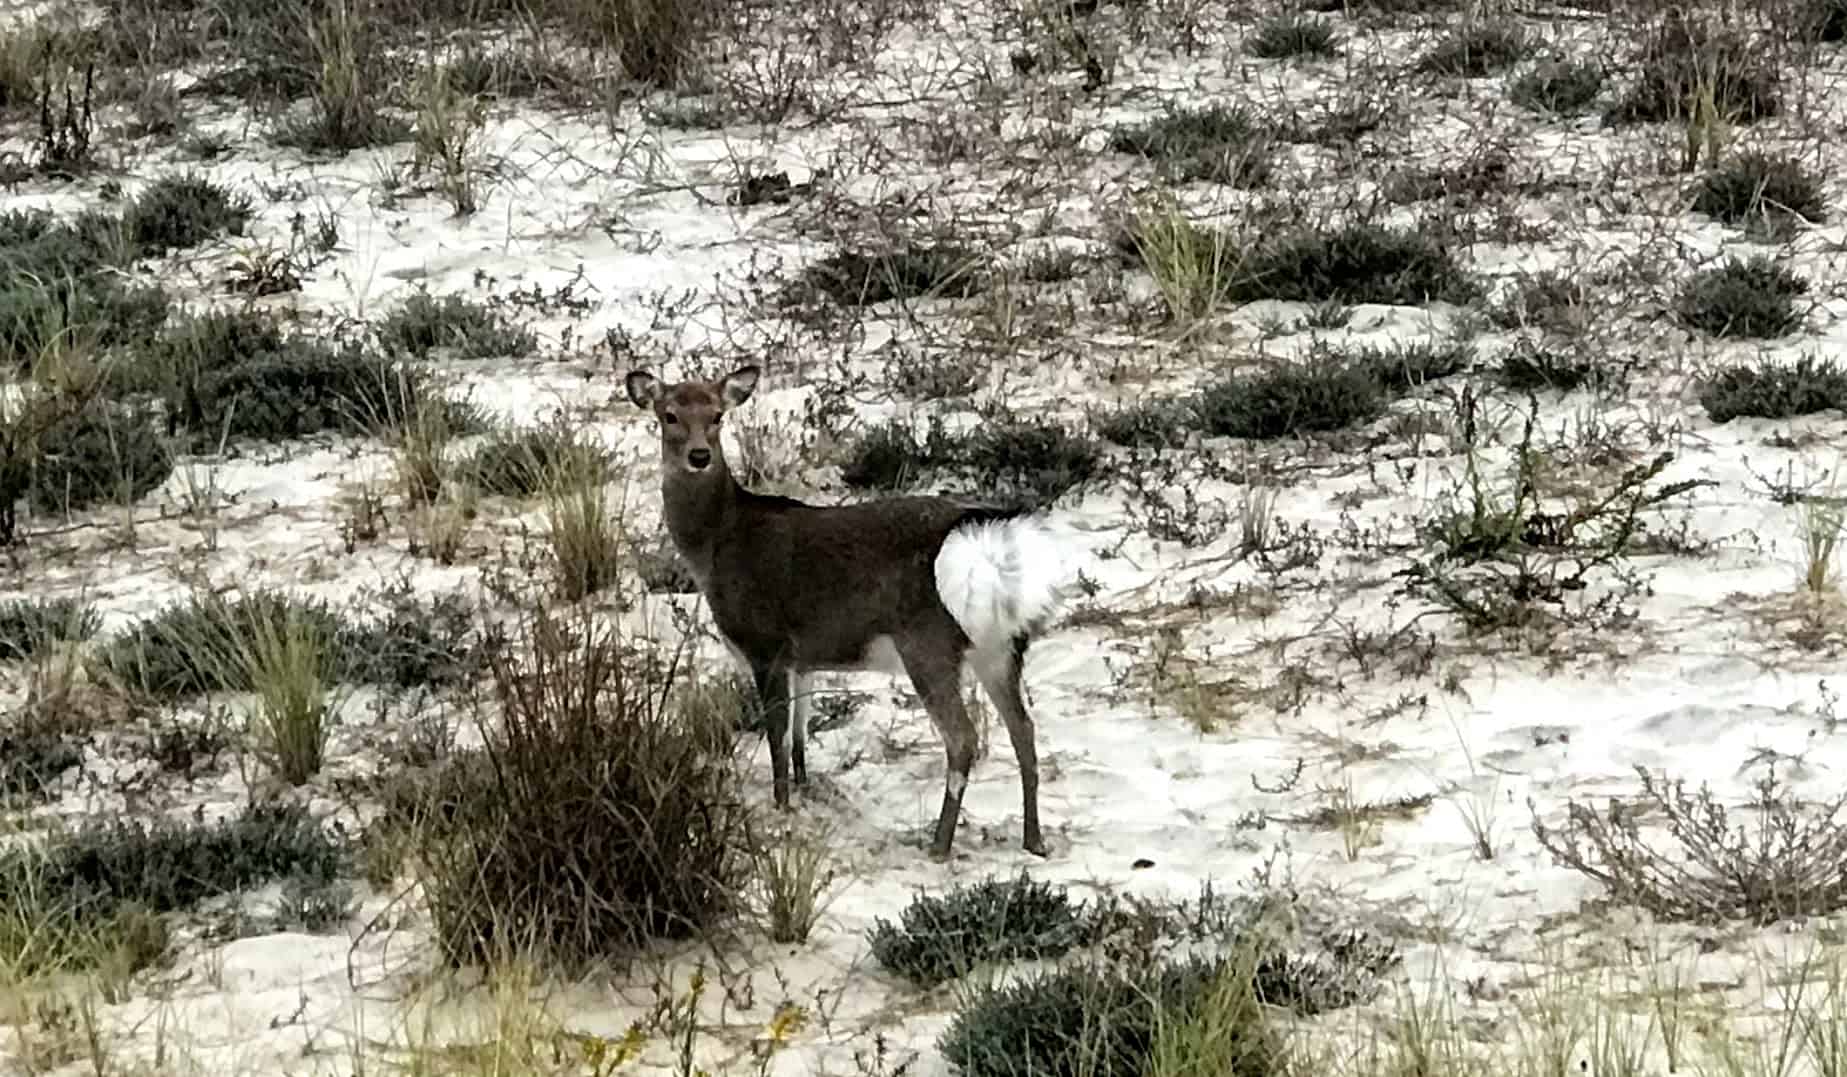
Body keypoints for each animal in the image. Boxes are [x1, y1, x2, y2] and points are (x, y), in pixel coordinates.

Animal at [624, 364, 1078, 859]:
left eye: (717, 415)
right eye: (669, 415)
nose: (699, 456)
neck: (716, 546)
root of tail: (989, 551)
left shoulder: (765, 643)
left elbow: (776, 738)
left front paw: (781, 806)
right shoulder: (802, 658)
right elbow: (800, 736)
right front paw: (804, 791)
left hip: (928, 643)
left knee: (963, 739)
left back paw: (939, 845)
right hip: (999, 648)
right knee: (1024, 731)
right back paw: (1034, 840)